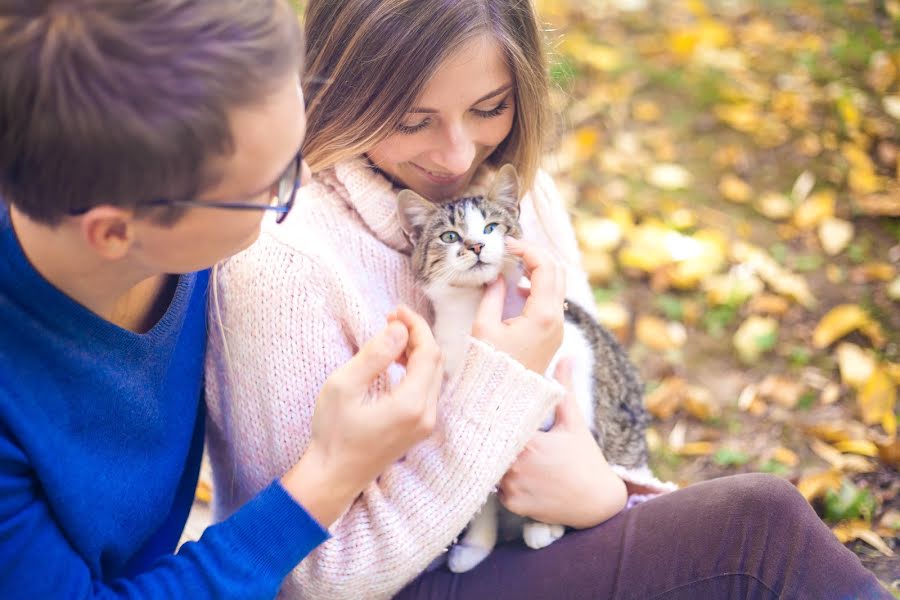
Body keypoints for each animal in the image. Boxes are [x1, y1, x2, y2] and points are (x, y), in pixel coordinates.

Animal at [398, 163, 652, 572]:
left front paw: (546, 523)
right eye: (450, 236)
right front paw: (477, 545)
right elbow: (482, 486)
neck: (472, 312)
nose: (476, 246)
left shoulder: (573, 363)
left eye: (490, 227)